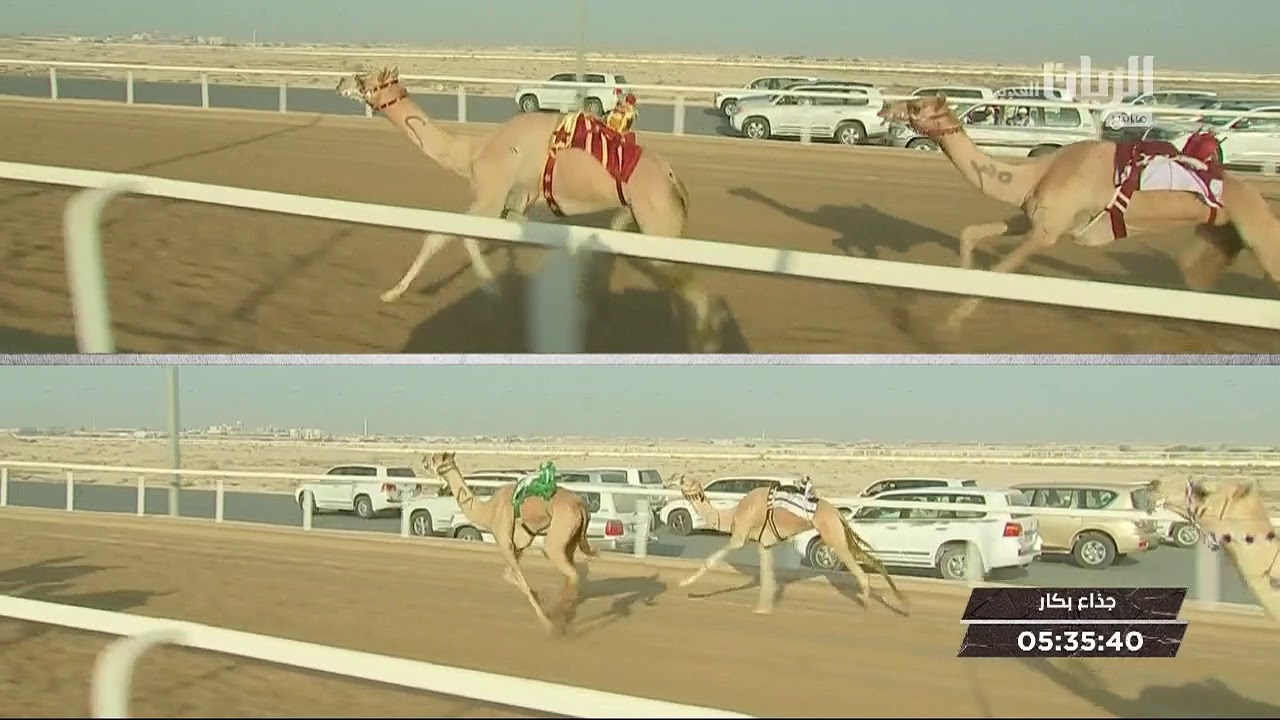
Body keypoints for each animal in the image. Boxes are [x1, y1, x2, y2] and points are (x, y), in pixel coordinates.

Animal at [337, 67, 726, 351]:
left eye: (365, 79)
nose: (341, 81)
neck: (471, 153)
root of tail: (676, 181)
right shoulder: (517, 208)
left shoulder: (491, 196)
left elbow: (447, 234)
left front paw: (487, 293)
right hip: (636, 220)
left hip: (659, 222)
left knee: (694, 290)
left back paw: (701, 344)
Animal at [426, 452, 594, 634]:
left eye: (435, 458)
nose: (424, 461)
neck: (488, 512)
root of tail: (581, 507)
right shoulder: (519, 545)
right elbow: (509, 575)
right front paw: (540, 599)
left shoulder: (504, 541)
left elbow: (516, 578)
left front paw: (546, 622)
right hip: (571, 539)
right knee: (570, 572)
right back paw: (563, 617)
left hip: (557, 538)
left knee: (571, 572)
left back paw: (559, 623)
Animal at [669, 474, 907, 614]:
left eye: (684, 480)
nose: (672, 479)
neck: (731, 517)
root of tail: (837, 512)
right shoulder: (765, 544)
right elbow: (767, 577)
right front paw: (763, 608)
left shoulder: (739, 536)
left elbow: (711, 560)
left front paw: (684, 585)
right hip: (839, 533)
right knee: (873, 559)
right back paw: (901, 604)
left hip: (832, 534)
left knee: (860, 567)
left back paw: (866, 605)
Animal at [877, 95, 1280, 328]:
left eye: (916, 107)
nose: (884, 108)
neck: (1037, 173)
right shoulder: (1031, 216)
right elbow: (970, 233)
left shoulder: (1047, 232)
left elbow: (999, 274)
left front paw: (947, 325)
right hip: (1218, 234)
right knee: (1195, 275)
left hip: (1260, 232)